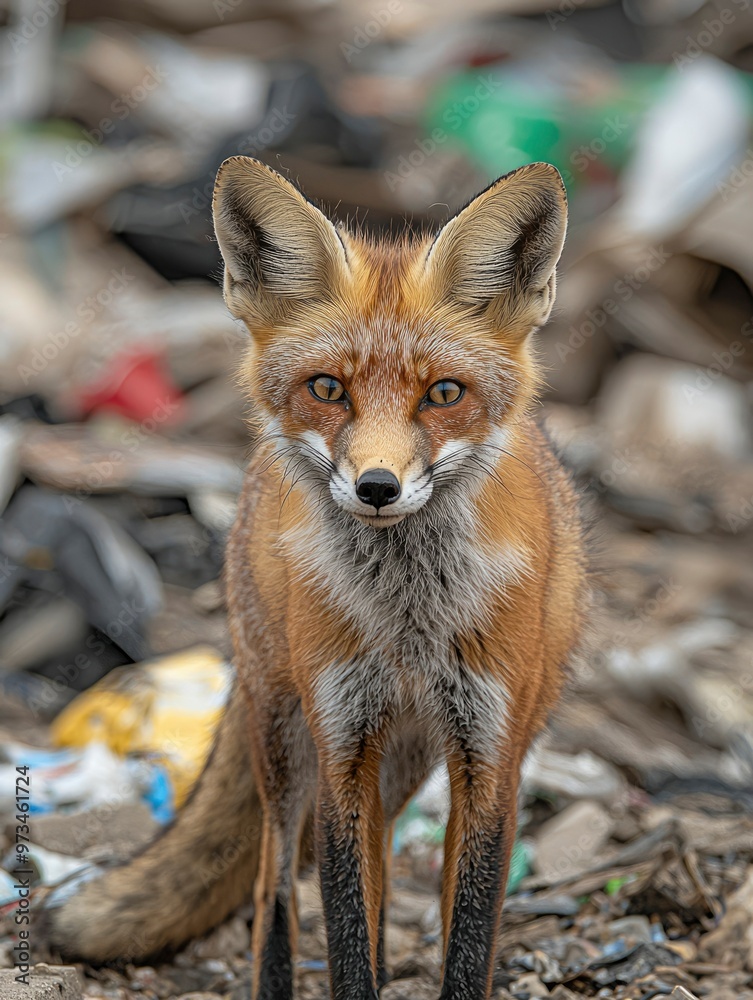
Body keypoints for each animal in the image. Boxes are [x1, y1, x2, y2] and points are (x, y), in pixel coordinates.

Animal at [44, 157, 587, 1000]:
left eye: (443, 393)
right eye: (328, 388)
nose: (376, 487)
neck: (408, 622)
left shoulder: (489, 757)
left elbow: (467, 932)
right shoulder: (340, 748)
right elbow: (340, 926)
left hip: (417, 759)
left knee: (394, 867)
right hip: (286, 736)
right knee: (275, 882)